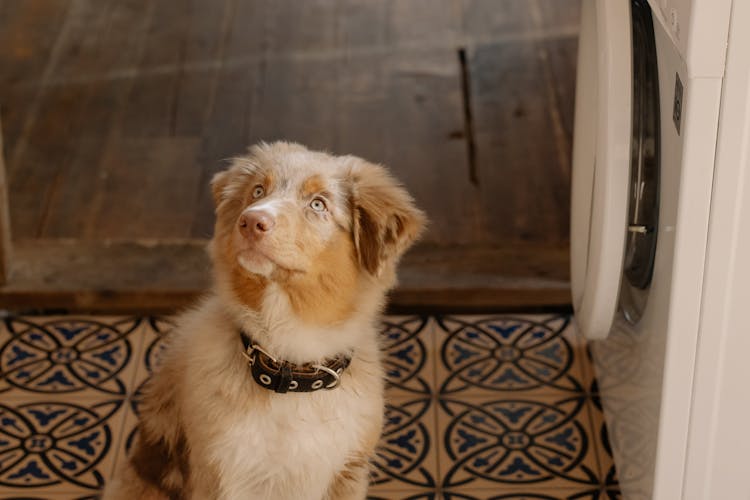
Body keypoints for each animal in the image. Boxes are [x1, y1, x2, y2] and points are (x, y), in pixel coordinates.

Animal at [103, 142, 426, 500]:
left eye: (318, 204)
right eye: (258, 191)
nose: (251, 221)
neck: (290, 355)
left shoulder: (349, 471)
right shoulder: (220, 473)